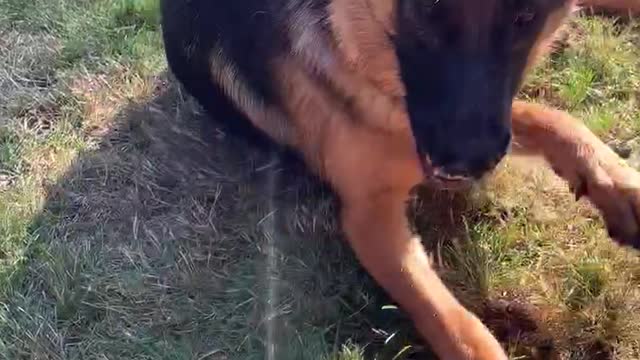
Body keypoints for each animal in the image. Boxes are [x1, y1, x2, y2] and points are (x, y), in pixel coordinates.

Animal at [160, 0, 640, 358]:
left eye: (525, 16)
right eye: (427, 8)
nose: (466, 165)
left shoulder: (474, 122)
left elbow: (550, 116)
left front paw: (620, 184)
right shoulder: (370, 214)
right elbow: (454, 323)